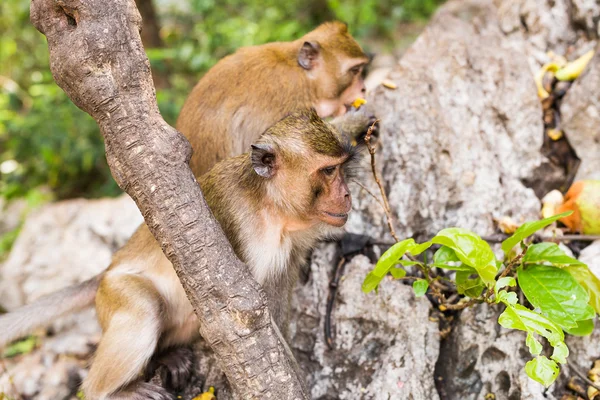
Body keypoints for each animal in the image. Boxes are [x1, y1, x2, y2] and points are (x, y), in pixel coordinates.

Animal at [0, 109, 356, 400]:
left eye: (341, 169)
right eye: (328, 171)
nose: (347, 194)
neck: (270, 206)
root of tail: (106, 271)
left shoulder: (293, 245)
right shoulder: (232, 219)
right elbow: (246, 313)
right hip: (114, 292)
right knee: (144, 308)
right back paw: (109, 392)